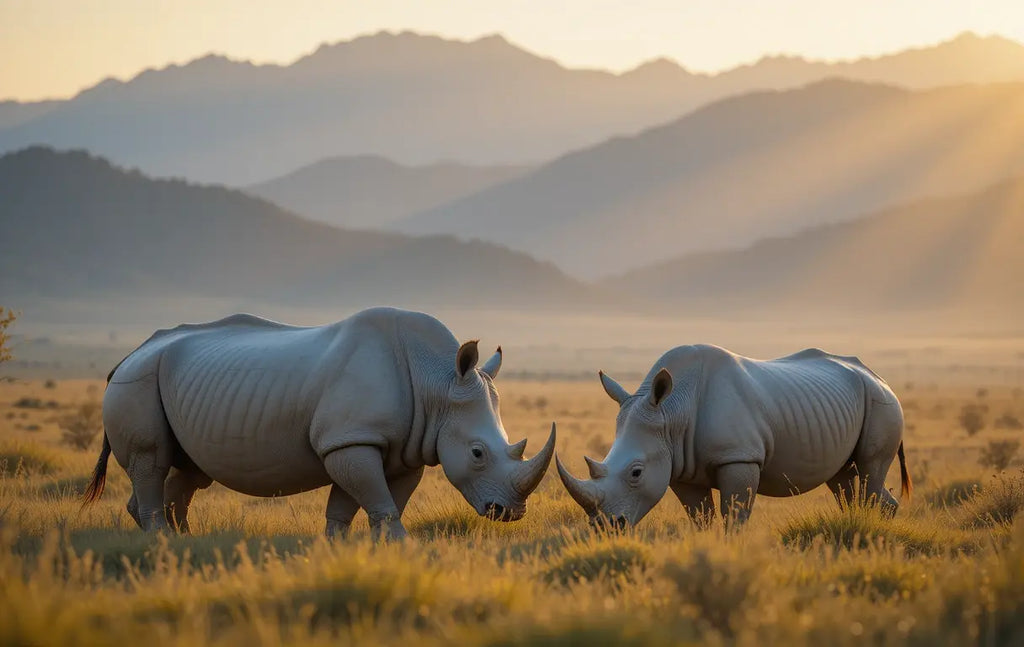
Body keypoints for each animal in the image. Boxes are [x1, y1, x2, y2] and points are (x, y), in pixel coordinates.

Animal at [82, 307, 555, 540]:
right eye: (477, 453)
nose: (509, 513)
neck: (437, 382)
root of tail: (129, 353)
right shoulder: (350, 438)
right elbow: (378, 500)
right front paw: (401, 546)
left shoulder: (397, 446)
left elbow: (357, 503)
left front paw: (344, 549)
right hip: (138, 380)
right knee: (152, 458)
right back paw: (162, 540)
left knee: (190, 469)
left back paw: (182, 540)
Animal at [557, 345, 910, 529]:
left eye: (636, 473)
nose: (604, 526)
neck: (670, 411)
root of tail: (878, 375)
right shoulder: (679, 465)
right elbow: (701, 518)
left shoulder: (739, 457)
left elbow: (734, 517)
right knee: (844, 477)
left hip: (883, 401)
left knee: (870, 468)